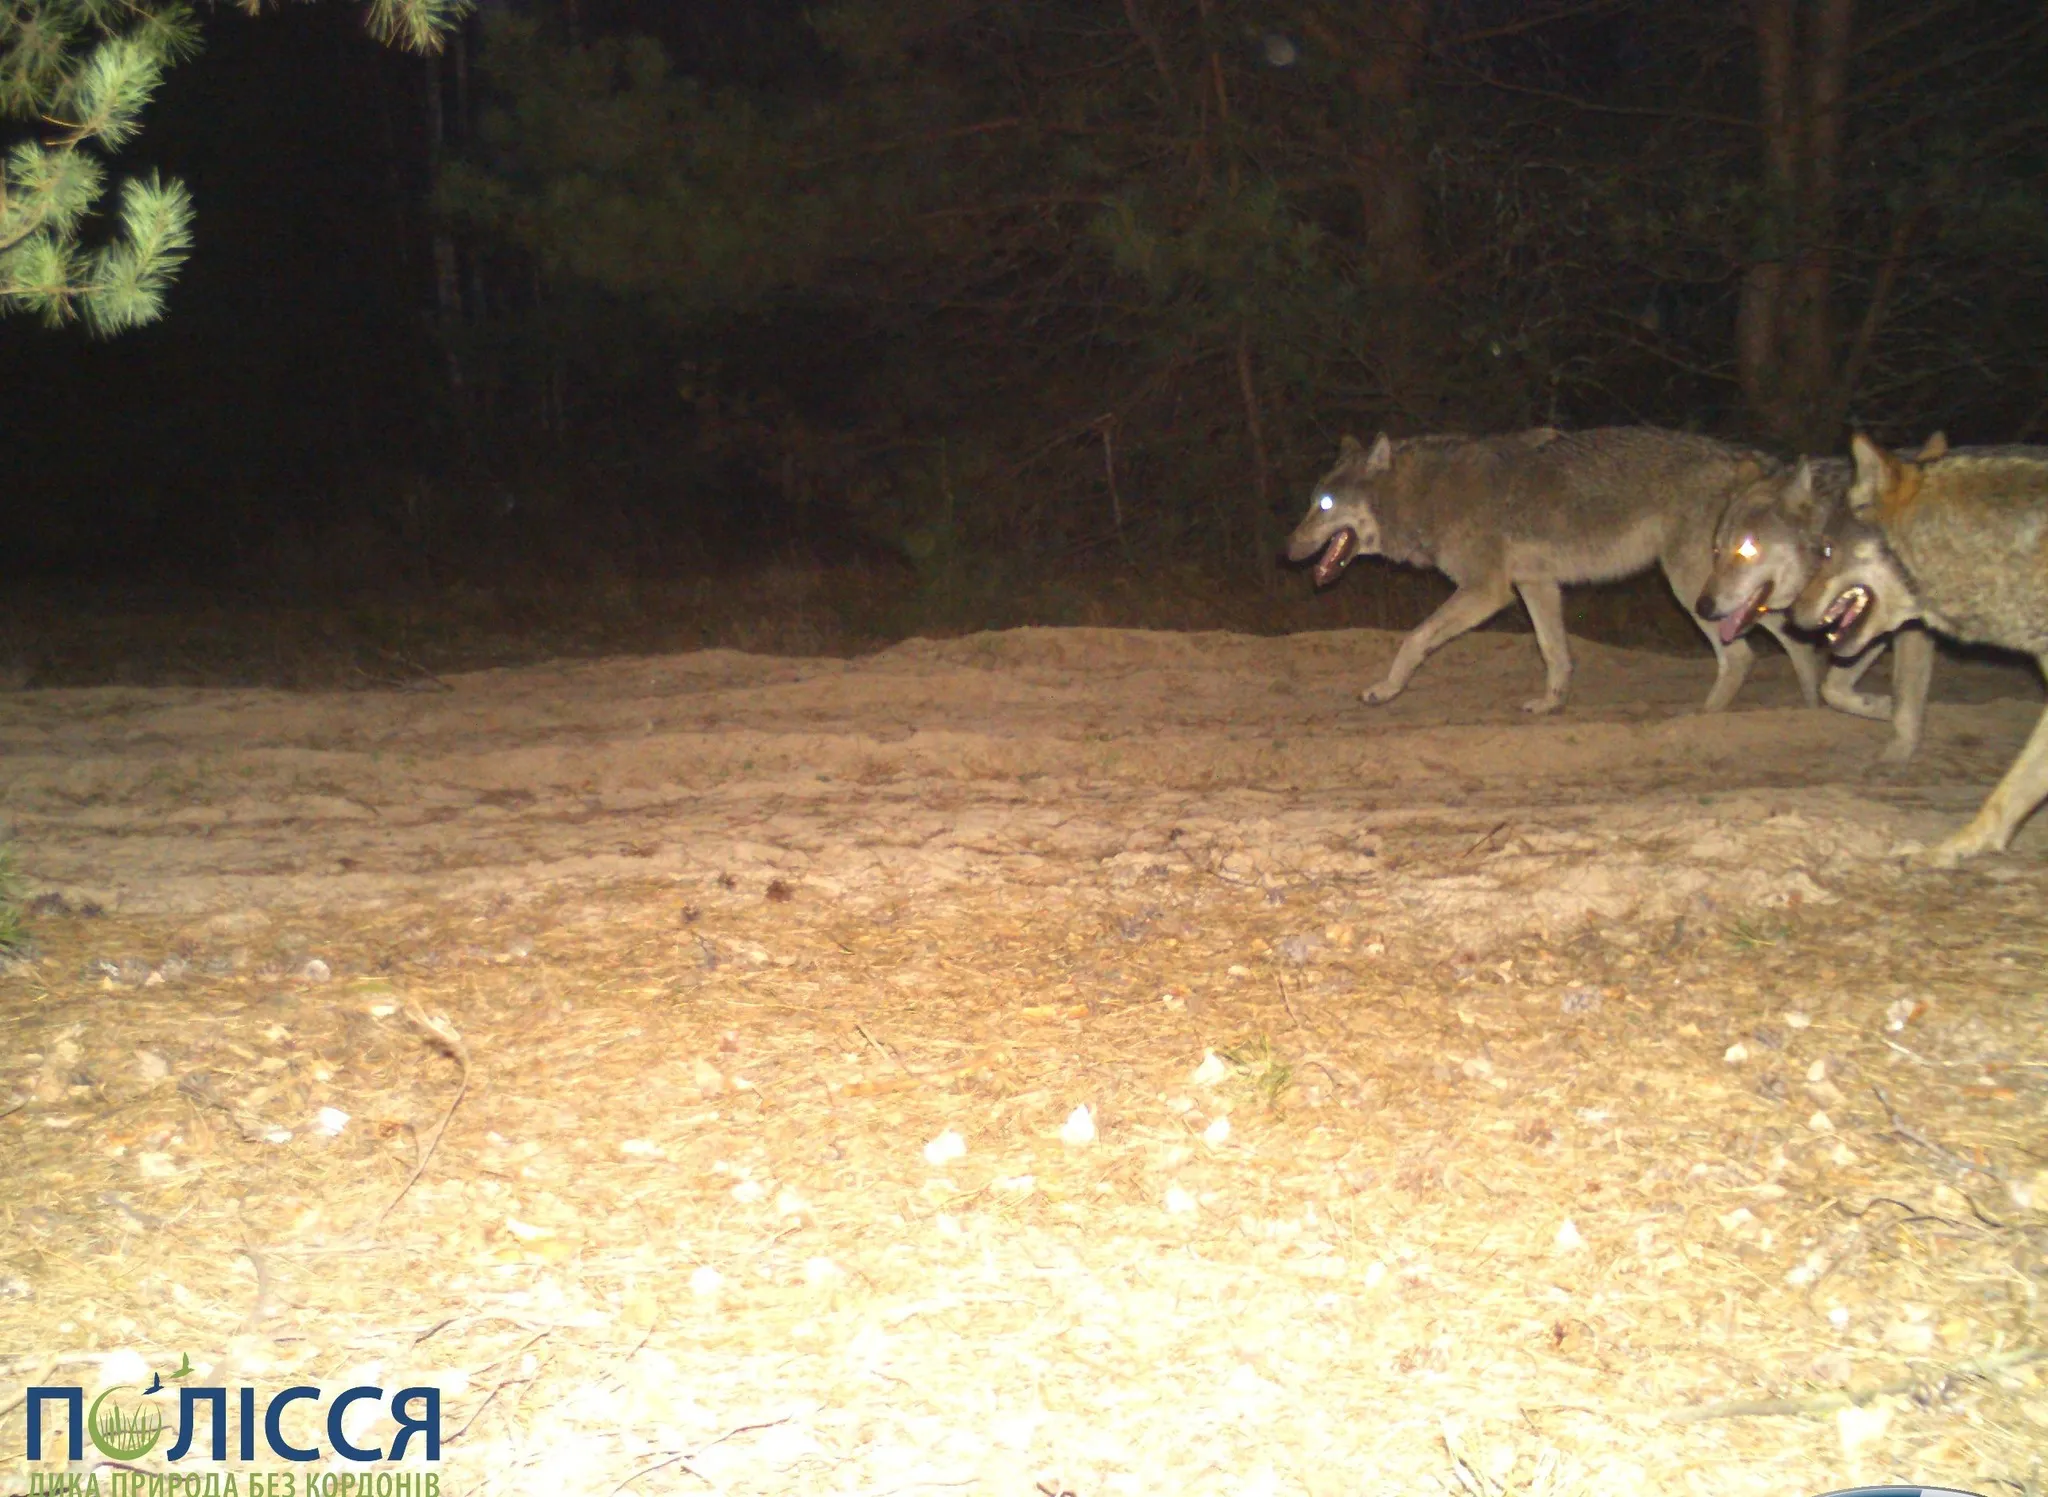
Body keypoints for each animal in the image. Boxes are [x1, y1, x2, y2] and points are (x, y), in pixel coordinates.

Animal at [1286, 430, 1835, 716]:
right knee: (1790, 634)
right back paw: (1810, 706)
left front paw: (1385, 689)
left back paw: (1703, 719)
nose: (1287, 549)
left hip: (1692, 587)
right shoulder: (1536, 584)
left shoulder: (1487, 591)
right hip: (1719, 588)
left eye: (1325, 504)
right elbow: (1556, 654)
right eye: (1311, 502)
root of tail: (1743, 457)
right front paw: (1551, 705)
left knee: (1742, 654)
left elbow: (1413, 639)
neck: (1425, 493)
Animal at [1695, 434, 1949, 761]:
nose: (1702, 606)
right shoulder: (1863, 623)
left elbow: (1906, 692)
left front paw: (1898, 752)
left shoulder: (1906, 622)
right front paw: (1881, 706)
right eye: (1716, 550)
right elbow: (1832, 689)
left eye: (1747, 549)